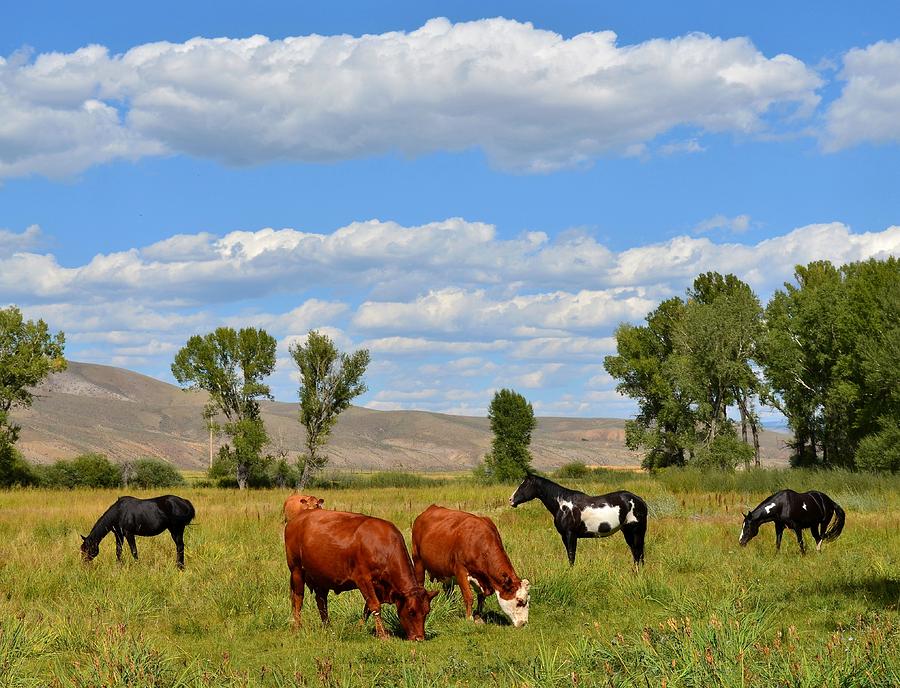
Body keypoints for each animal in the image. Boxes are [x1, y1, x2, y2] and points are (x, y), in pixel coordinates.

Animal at [284, 509, 438, 640]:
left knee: (321, 601)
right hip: (296, 570)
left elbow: (368, 608)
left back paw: (327, 626)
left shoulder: (377, 586)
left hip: (321, 576)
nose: (419, 638)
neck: (384, 549)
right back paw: (297, 626)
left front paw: (360, 627)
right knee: (298, 598)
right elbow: (375, 605)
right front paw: (382, 634)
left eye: (427, 611)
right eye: (411, 611)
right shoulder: (363, 579)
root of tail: (297, 518)